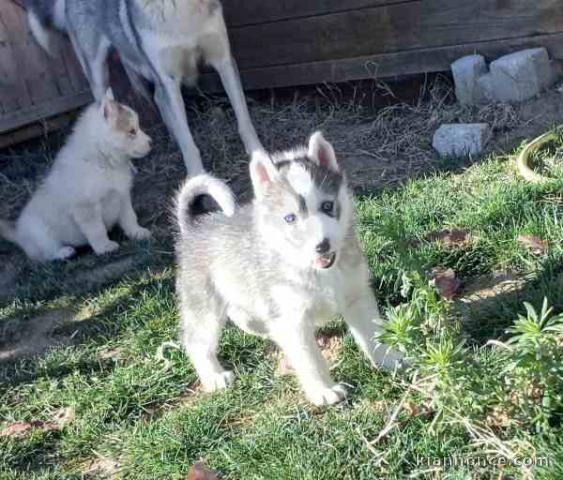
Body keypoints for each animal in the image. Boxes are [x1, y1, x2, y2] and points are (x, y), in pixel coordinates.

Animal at [25, 0, 264, 172]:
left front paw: (259, 156)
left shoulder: (224, 61)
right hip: (98, 75)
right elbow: (189, 144)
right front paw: (197, 177)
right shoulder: (168, 79)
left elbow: (244, 121)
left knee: (158, 99)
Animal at [176, 131, 406, 404]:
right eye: (290, 218)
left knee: (241, 314)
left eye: (327, 206)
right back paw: (213, 376)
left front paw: (389, 359)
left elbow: (373, 334)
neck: (320, 272)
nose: (322, 245)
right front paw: (323, 390)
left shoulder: (356, 295)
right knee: (197, 342)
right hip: (205, 305)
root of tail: (195, 226)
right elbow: (309, 358)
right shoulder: (292, 319)